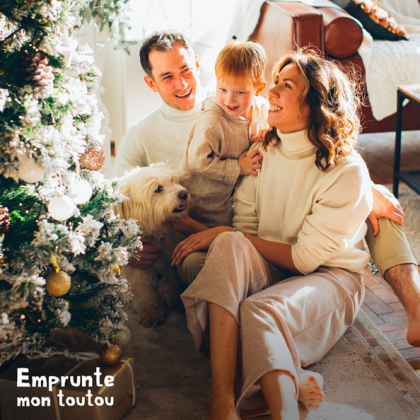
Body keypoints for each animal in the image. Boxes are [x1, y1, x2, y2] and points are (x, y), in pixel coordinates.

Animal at [117, 164, 191, 328]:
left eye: (172, 181)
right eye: (158, 189)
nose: (184, 194)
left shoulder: (168, 261)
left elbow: (171, 283)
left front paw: (175, 301)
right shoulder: (137, 269)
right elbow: (144, 291)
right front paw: (150, 312)